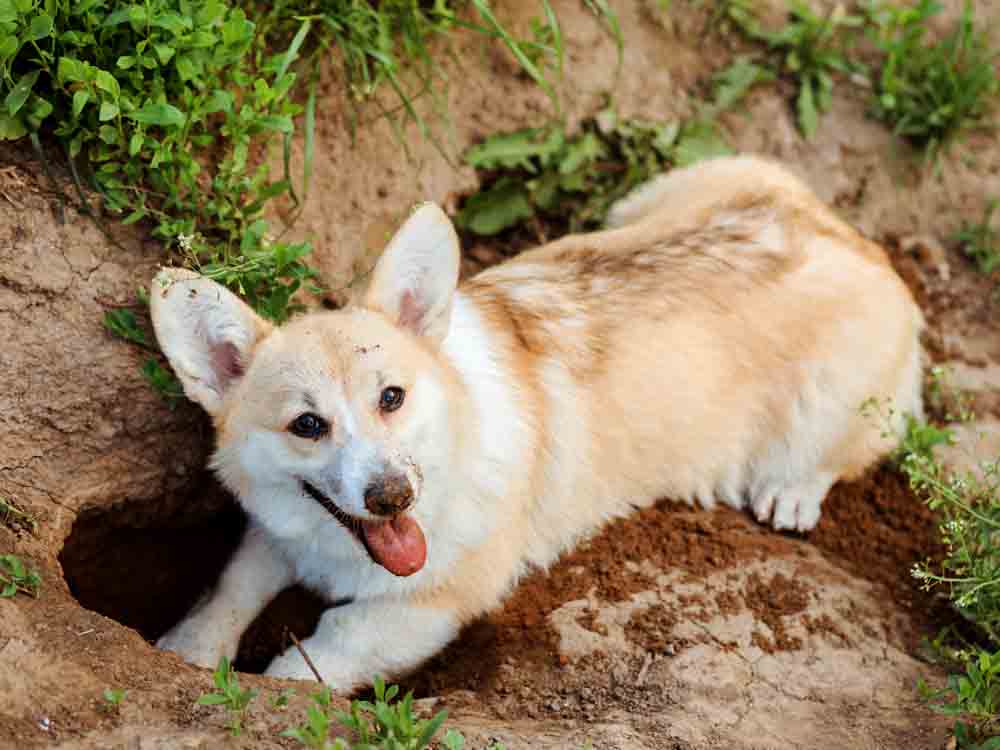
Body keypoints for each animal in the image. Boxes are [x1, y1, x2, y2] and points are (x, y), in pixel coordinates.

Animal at [148, 156, 920, 692]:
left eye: (392, 397)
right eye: (307, 425)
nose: (393, 496)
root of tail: (856, 240)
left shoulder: (423, 608)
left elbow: (308, 662)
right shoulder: (276, 532)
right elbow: (230, 587)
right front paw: (184, 652)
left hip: (833, 403)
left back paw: (791, 492)